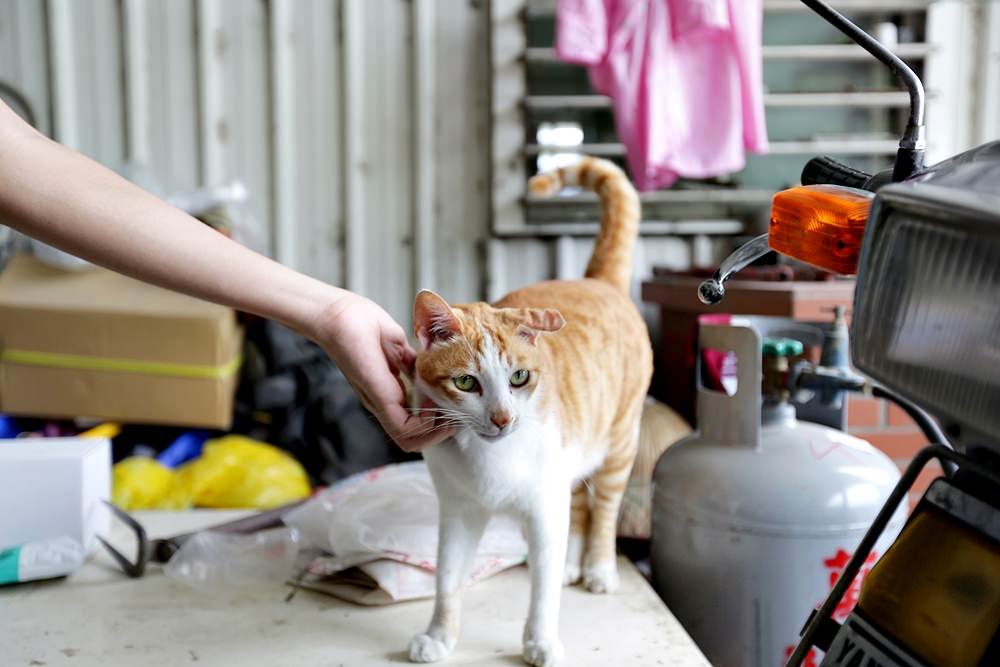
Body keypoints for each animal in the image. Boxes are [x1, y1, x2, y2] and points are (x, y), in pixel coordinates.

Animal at [408, 159, 652, 664]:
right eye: (466, 382)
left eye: (519, 378)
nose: (504, 418)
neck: (488, 460)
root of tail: (597, 280)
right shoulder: (458, 513)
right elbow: (446, 580)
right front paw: (439, 635)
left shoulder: (543, 512)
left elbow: (542, 590)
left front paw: (540, 641)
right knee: (578, 505)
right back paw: (573, 561)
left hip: (619, 442)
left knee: (605, 509)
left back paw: (597, 567)